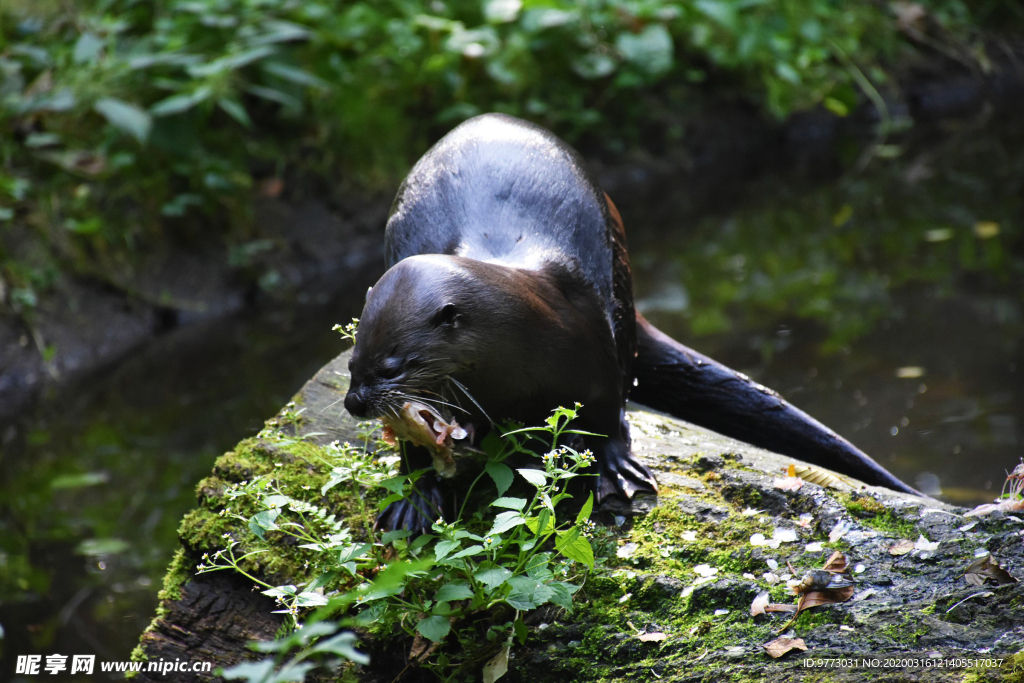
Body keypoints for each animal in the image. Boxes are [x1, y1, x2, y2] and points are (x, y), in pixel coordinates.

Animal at [348, 113, 917, 528]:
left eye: (394, 366)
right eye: (355, 362)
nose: (355, 403)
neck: (523, 338)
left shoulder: (593, 353)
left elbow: (606, 412)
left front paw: (612, 469)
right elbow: (416, 451)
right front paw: (416, 498)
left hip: (619, 286)